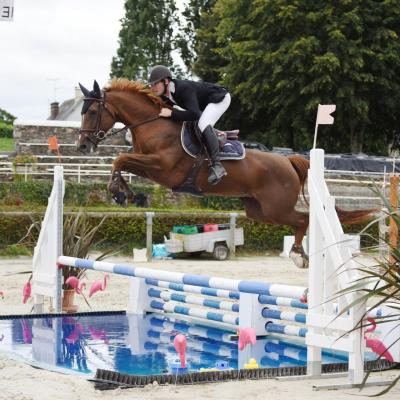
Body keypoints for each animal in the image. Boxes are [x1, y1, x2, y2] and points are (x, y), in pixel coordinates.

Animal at [77, 79, 376, 268]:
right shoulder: (150, 166)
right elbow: (121, 162)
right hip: (259, 211)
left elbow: (120, 158)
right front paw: (127, 194)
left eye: (91, 111)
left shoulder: (163, 168)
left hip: (276, 207)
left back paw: (298, 255)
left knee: (302, 220)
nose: (82, 146)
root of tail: (288, 162)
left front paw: (120, 193)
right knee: (296, 220)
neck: (153, 124)